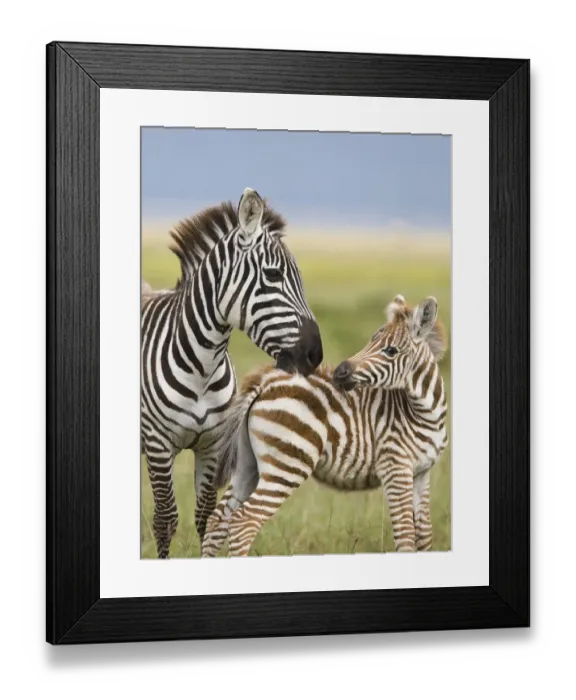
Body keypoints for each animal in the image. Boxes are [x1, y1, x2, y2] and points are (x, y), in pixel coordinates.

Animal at [141, 188, 323, 558]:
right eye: (273, 276)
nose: (316, 354)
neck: (202, 365)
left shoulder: (212, 445)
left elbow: (205, 517)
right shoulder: (158, 444)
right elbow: (165, 520)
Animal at [201, 294, 448, 557]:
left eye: (391, 351)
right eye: (371, 341)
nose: (340, 372)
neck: (424, 415)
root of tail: (266, 383)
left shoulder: (421, 474)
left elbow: (424, 537)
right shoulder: (395, 467)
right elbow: (406, 537)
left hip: (248, 465)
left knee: (218, 520)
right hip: (287, 464)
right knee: (243, 522)